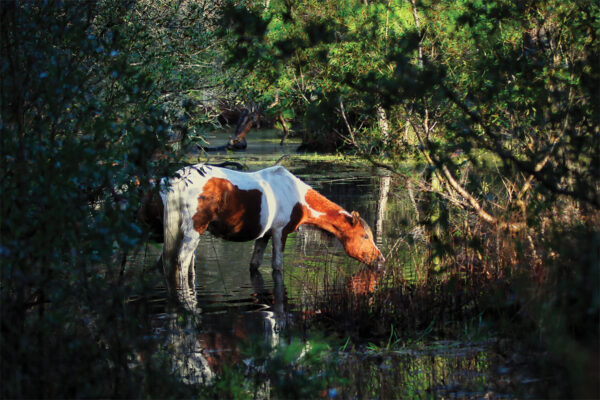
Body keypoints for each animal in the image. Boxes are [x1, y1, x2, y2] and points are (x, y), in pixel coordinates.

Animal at [157, 164, 386, 302]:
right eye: (365, 236)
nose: (381, 260)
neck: (295, 195)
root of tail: (177, 180)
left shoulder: (264, 236)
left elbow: (255, 265)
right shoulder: (279, 233)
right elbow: (277, 266)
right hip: (193, 231)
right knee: (181, 263)